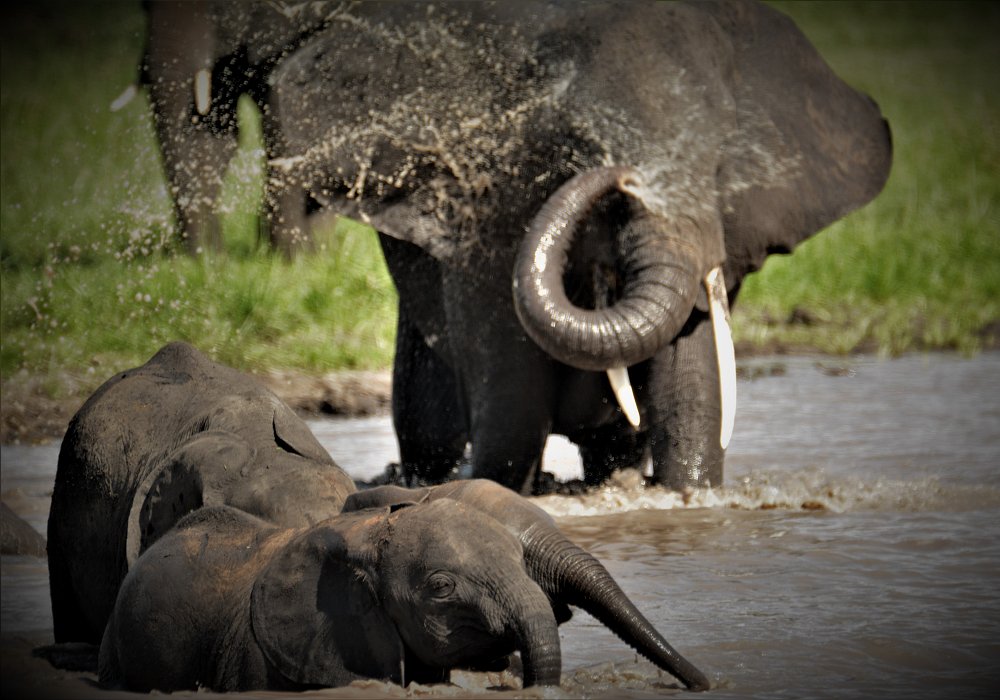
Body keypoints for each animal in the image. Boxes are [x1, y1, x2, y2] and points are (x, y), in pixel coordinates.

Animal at [264, 1, 892, 492]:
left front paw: (688, 495)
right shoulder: (488, 216)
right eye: (575, 147)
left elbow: (692, 388)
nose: (624, 176)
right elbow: (511, 412)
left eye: (723, 163)